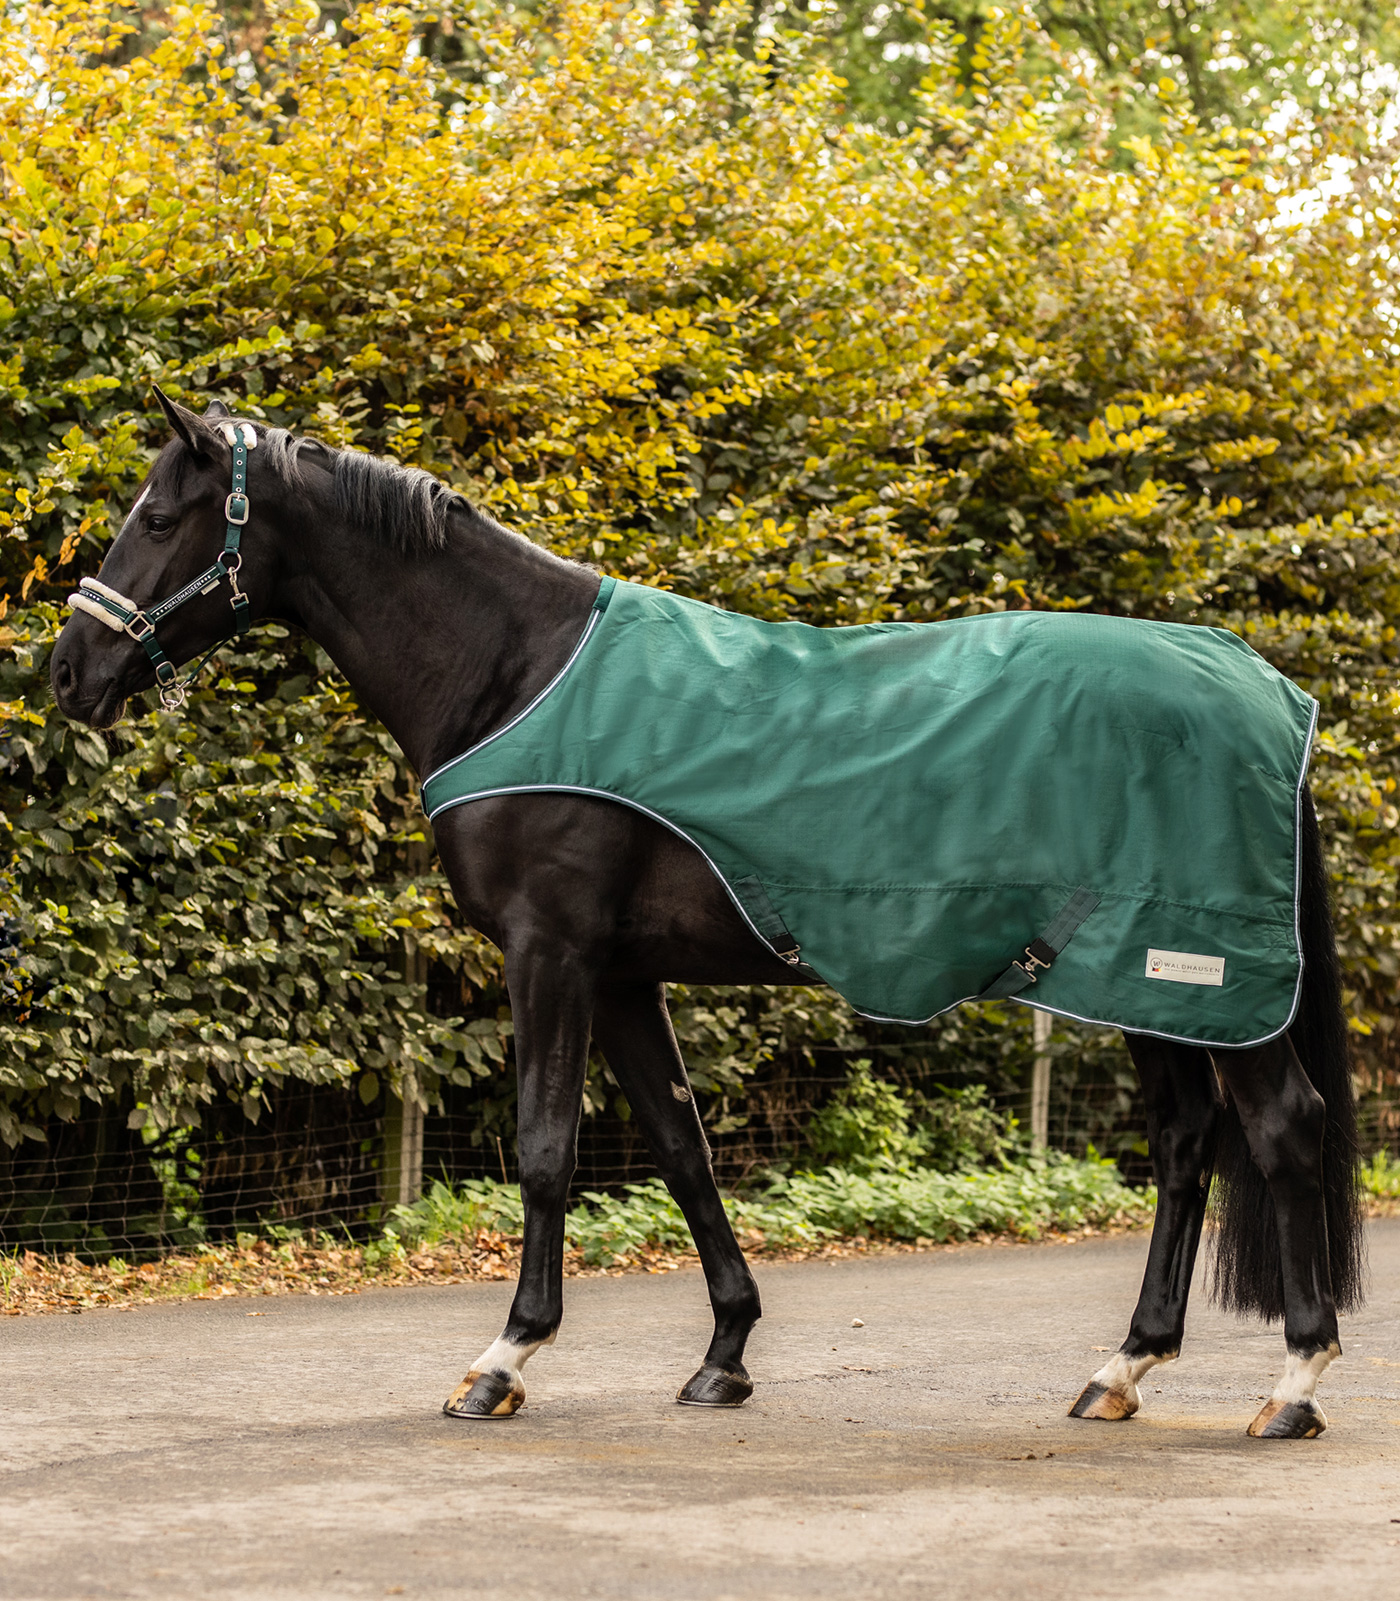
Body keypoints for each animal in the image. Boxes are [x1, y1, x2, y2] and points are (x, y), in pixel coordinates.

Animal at [51, 397, 1351, 1440]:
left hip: (1185, 976)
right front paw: (724, 1353)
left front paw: (502, 1361)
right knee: (1184, 1145)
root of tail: (1265, 689)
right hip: (1135, 982)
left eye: (158, 518)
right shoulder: (623, 972)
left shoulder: (549, 953)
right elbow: (680, 1148)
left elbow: (543, 1148)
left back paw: (1292, 1382)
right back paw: (1120, 1368)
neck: (515, 670)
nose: (68, 672)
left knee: (1278, 1129)